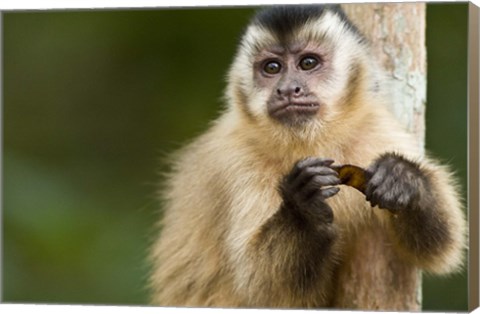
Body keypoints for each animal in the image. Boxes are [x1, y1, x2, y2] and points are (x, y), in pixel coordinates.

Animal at [148, 4, 466, 312]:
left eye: (308, 63)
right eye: (272, 68)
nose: (288, 88)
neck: (310, 141)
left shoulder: (377, 130)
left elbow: (438, 246)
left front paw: (404, 178)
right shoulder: (235, 159)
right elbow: (263, 289)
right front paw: (304, 206)